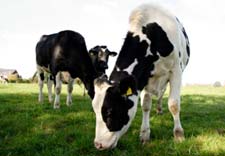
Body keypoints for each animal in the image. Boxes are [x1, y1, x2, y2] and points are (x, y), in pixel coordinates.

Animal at [91, 3, 190, 150]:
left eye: (110, 111)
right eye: (95, 110)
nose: (98, 144)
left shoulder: (176, 71)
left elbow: (174, 104)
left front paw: (179, 135)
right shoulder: (143, 78)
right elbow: (145, 105)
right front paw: (144, 134)